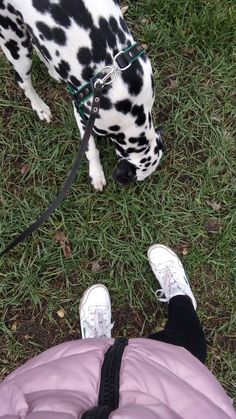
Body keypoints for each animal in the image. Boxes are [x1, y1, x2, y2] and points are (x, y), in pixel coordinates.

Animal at [0, 0, 163, 190]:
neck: (132, 107)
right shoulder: (83, 116)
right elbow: (91, 150)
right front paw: (97, 174)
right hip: (16, 46)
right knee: (24, 81)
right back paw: (40, 107)